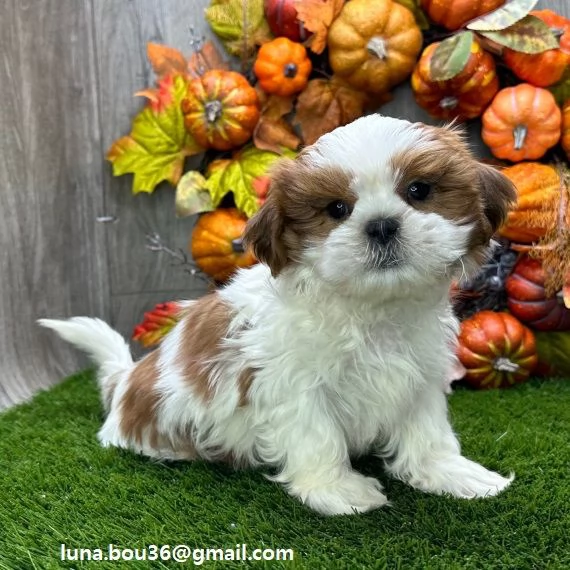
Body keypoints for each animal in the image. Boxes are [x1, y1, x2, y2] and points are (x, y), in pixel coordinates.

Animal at [40, 115, 516, 516]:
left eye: (419, 190)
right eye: (336, 209)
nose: (381, 224)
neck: (371, 308)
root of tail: (125, 382)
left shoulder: (420, 376)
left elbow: (426, 432)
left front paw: (450, 472)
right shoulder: (292, 383)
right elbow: (316, 434)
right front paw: (337, 490)